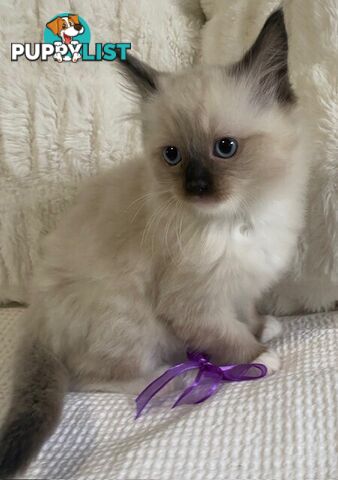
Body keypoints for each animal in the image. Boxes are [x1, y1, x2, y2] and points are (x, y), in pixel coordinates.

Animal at [0, 9, 308, 478]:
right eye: (172, 156)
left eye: (225, 148)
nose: (195, 187)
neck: (238, 219)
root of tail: (36, 310)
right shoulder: (195, 304)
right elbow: (228, 333)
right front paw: (259, 357)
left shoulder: (241, 287)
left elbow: (246, 314)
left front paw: (264, 327)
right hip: (131, 323)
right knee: (92, 377)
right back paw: (170, 378)